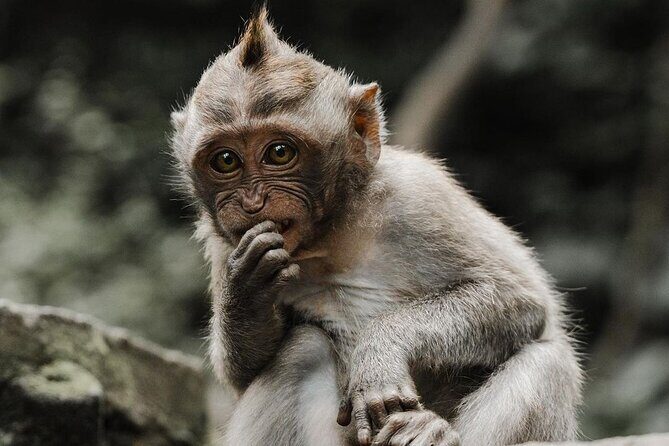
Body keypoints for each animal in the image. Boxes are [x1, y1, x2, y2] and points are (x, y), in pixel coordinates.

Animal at [170, 7, 583, 446]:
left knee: (548, 358)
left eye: (279, 152)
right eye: (226, 160)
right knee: (303, 348)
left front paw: (381, 352)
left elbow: (520, 301)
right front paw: (247, 291)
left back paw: (430, 432)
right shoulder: (224, 244)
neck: (331, 235)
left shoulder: (419, 197)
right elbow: (241, 374)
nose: (251, 202)